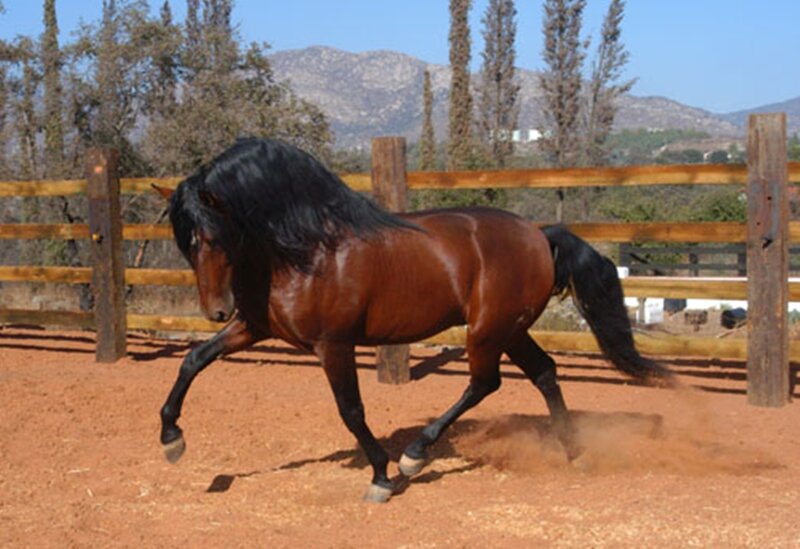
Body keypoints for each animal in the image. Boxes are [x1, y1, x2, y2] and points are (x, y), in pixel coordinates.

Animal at [154, 137, 673, 503]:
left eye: (216, 235)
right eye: (187, 241)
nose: (216, 310)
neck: (306, 249)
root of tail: (540, 235)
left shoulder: (333, 344)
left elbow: (351, 410)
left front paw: (382, 477)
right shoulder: (256, 327)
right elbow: (193, 359)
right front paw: (171, 440)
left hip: (487, 330)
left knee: (485, 383)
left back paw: (415, 456)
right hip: (511, 329)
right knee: (544, 372)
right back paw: (575, 453)